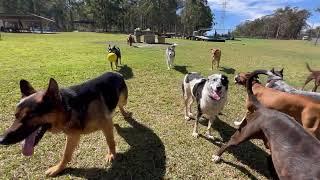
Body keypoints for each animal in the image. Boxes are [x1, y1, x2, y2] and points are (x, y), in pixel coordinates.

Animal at [0, 71, 131, 176]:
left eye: (30, 116)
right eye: (15, 116)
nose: (1, 139)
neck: (69, 108)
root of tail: (115, 72)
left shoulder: (105, 124)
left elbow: (110, 141)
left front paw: (111, 154)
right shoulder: (73, 136)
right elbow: (66, 155)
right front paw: (59, 168)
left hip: (123, 99)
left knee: (121, 104)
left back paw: (125, 114)